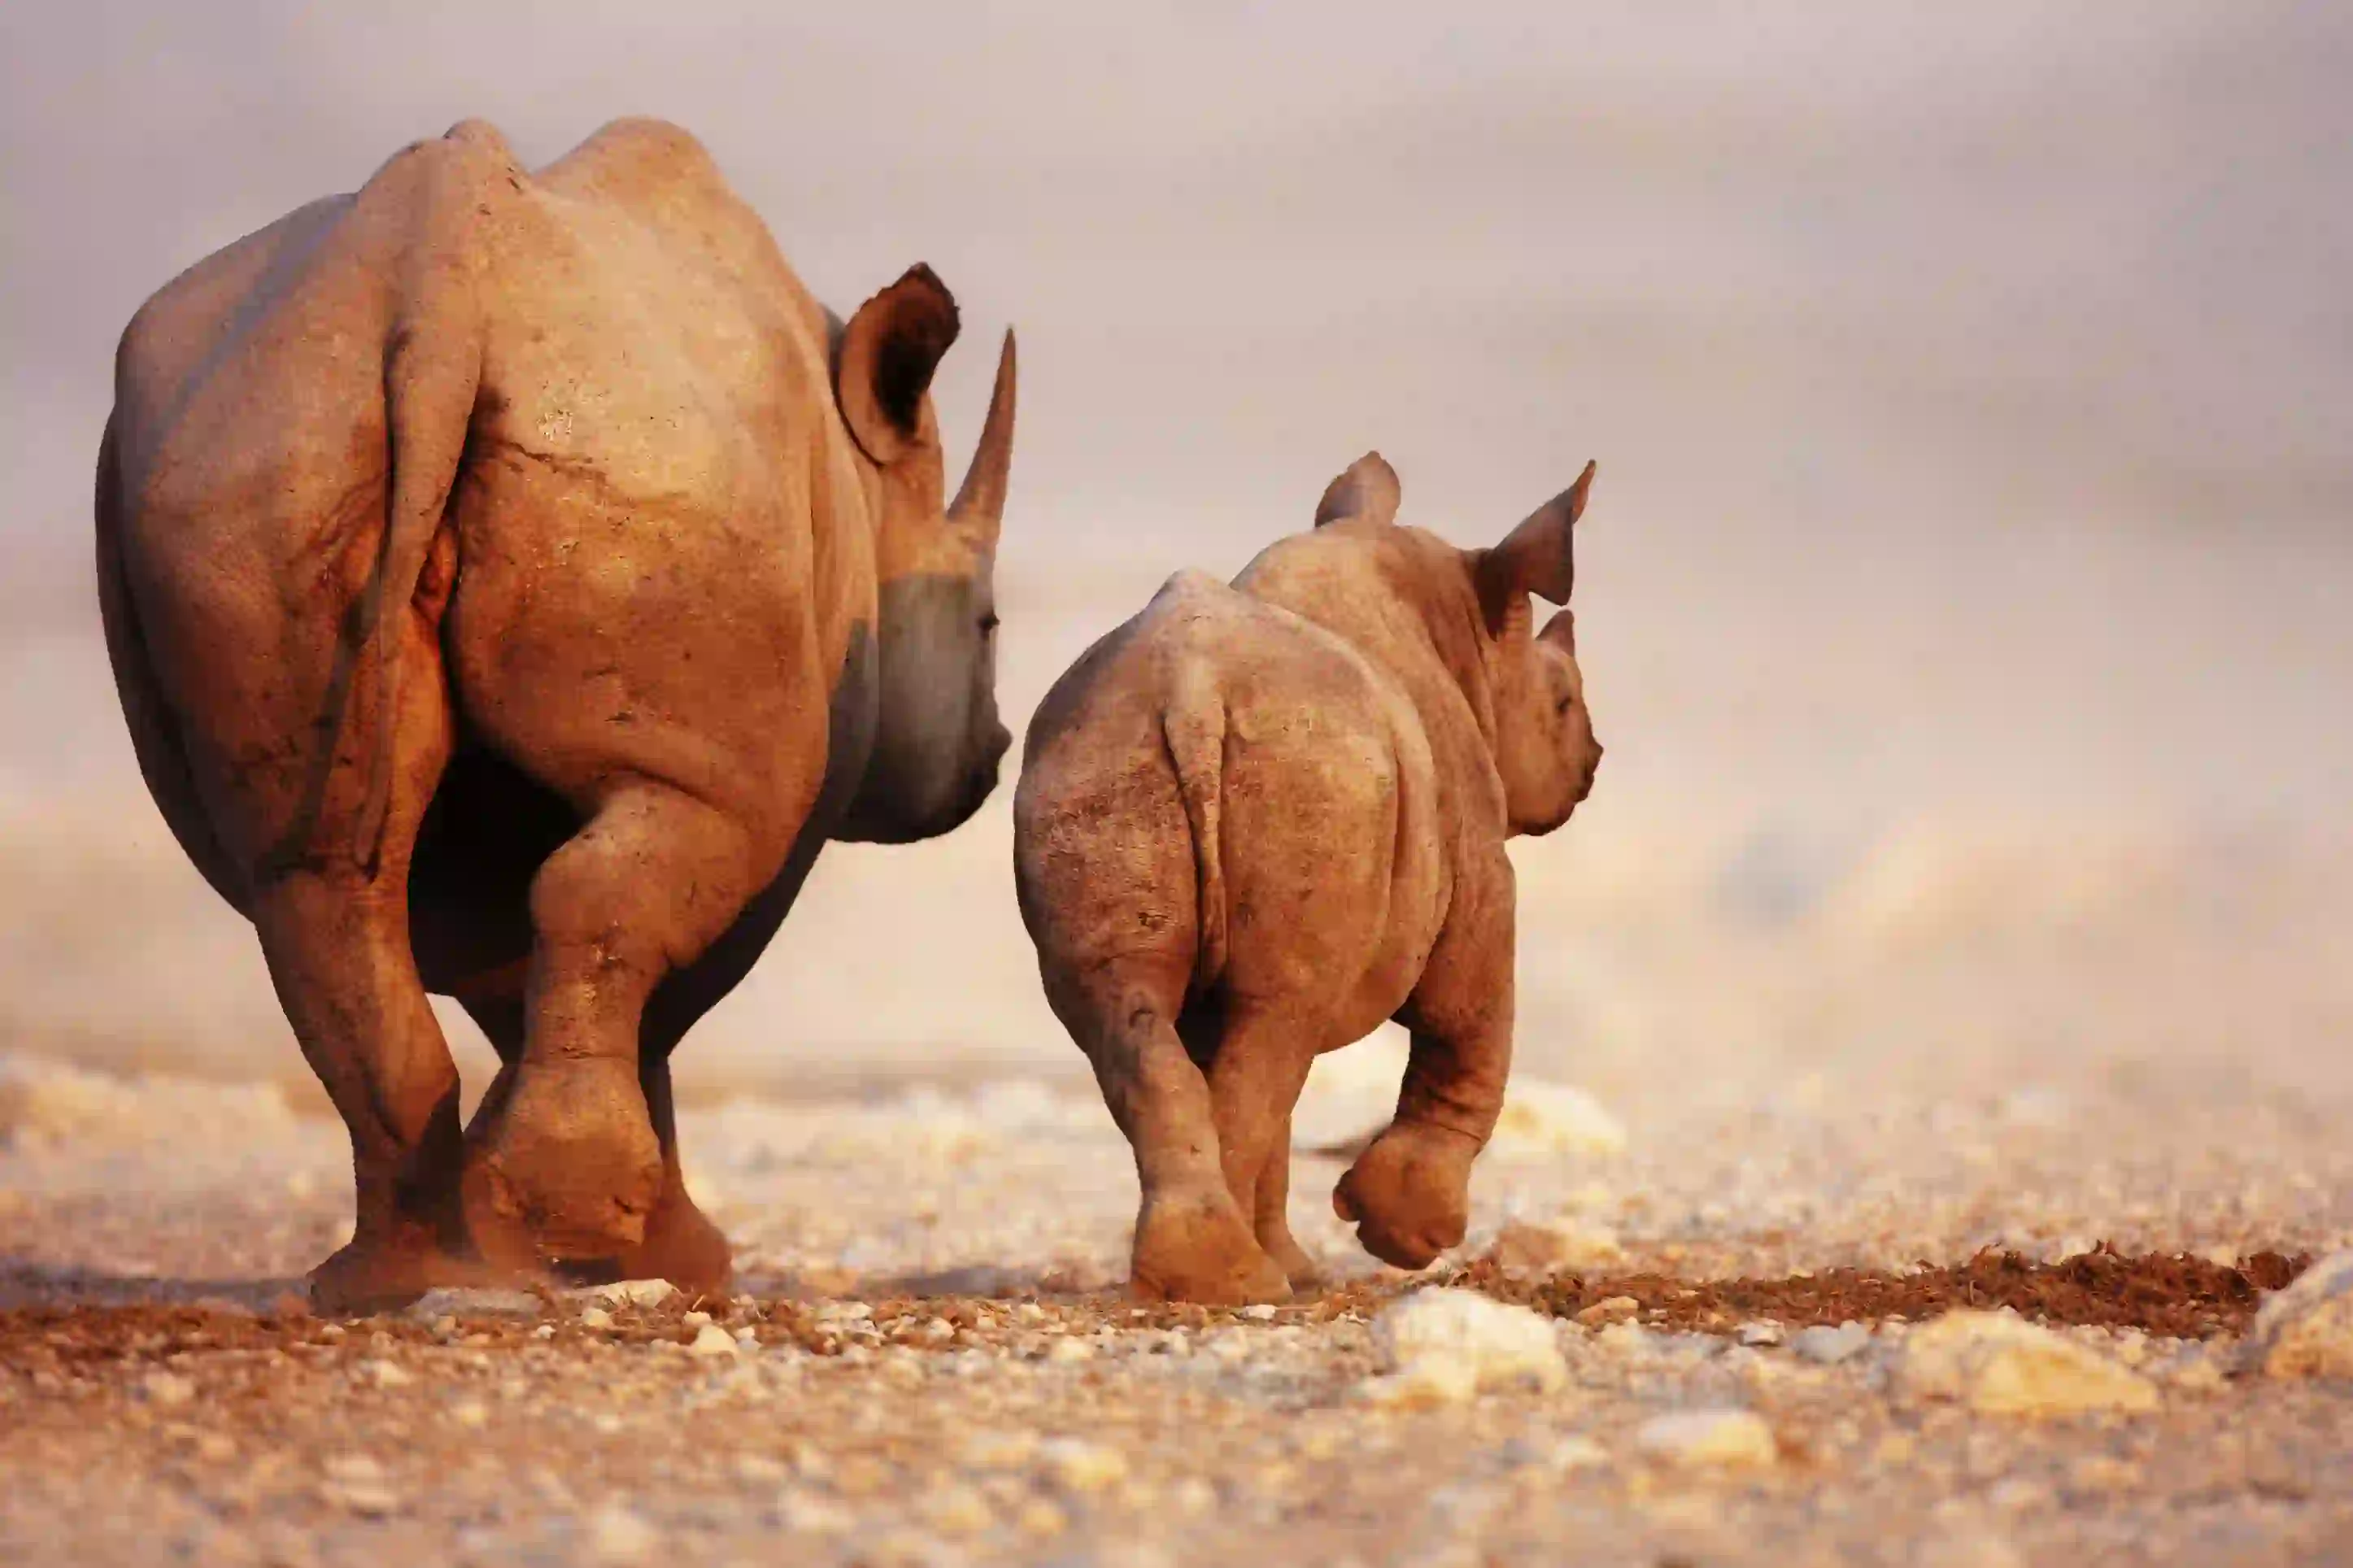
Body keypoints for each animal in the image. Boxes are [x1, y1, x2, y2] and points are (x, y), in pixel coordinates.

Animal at [96, 115, 1016, 1299]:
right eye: (986, 624)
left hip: (254, 451)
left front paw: (526, 1222)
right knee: (632, 860)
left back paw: (396, 1277)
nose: (992, 754)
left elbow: (509, 965)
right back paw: (552, 1238)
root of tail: (436, 292)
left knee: (313, 883)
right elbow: (670, 983)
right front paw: (655, 1253)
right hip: (640, 444)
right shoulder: (783, 783)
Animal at [1011, 449, 1600, 1290]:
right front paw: (1402, 1236)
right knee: (1276, 1022)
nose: (1592, 760)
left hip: (1097, 762)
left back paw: (1213, 1276)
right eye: (1562, 703)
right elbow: (1467, 1025)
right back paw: (1239, 1280)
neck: (1468, 640)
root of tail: (1191, 691)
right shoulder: (1477, 864)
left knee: (1140, 1014)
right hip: (1310, 772)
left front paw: (1301, 1265)